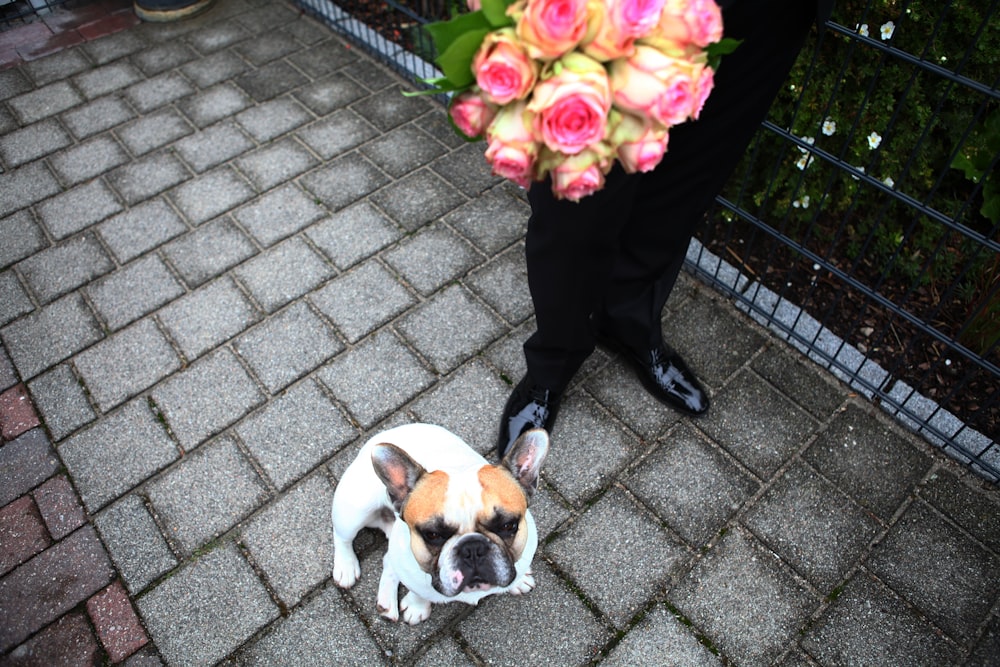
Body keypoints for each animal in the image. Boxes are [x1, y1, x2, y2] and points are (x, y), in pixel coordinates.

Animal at [332, 426, 548, 624]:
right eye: (433, 535)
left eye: (508, 525)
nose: (472, 548)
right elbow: (418, 592)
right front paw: (417, 607)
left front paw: (519, 580)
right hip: (353, 512)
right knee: (342, 537)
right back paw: (346, 567)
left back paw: (386, 602)